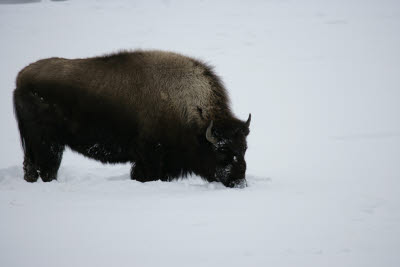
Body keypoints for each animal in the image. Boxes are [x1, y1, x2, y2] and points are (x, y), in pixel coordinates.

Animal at [14, 50, 252, 188]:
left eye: (244, 148)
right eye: (221, 150)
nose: (238, 181)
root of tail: (21, 78)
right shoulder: (150, 156)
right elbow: (145, 174)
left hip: (39, 144)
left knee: (34, 167)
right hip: (46, 142)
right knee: (46, 168)